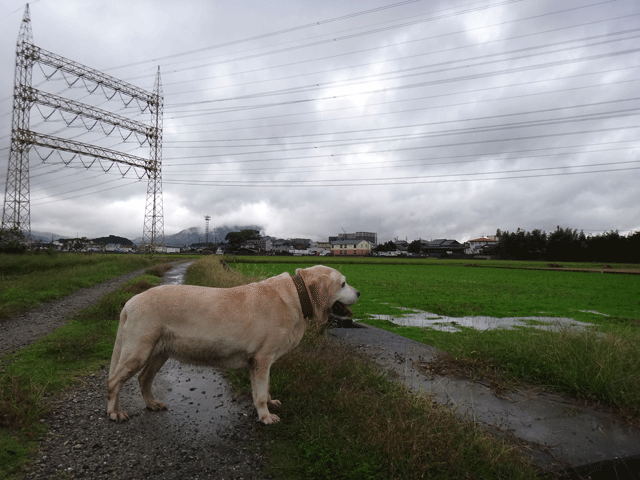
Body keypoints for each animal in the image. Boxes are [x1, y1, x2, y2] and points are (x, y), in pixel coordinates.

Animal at [109, 264, 360, 426]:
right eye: (343, 283)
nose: (358, 292)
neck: (297, 297)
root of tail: (129, 303)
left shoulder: (262, 362)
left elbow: (265, 387)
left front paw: (271, 402)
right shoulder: (261, 359)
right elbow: (260, 393)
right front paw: (265, 416)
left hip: (159, 353)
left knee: (144, 378)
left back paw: (152, 403)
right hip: (137, 352)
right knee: (113, 382)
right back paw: (115, 413)